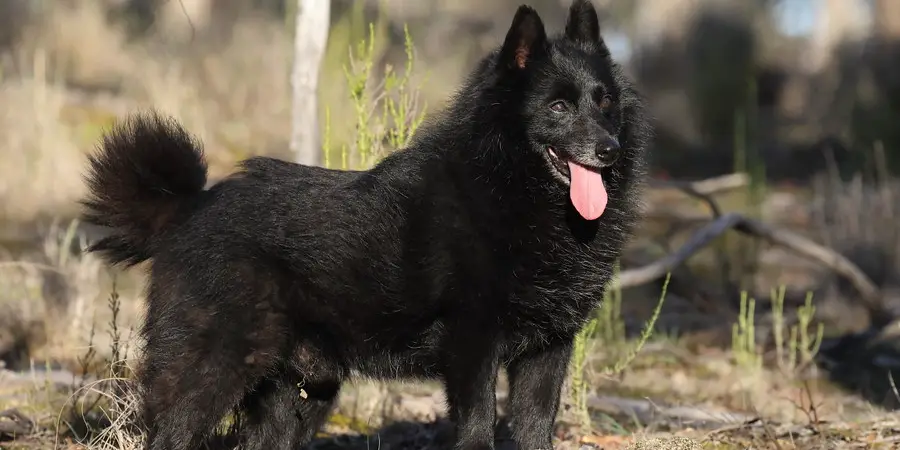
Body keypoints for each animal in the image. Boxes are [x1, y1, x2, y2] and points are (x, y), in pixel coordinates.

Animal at [81, 1, 652, 448]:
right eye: (558, 106)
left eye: (604, 100)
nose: (608, 149)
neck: (507, 187)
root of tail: (188, 207)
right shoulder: (473, 345)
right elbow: (477, 429)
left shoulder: (548, 349)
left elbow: (535, 430)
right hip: (215, 364)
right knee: (172, 431)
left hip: (297, 394)